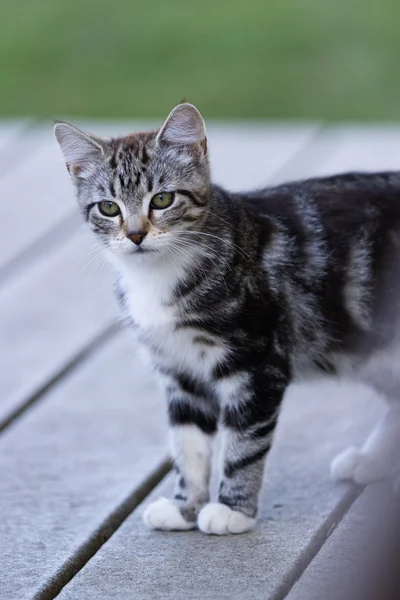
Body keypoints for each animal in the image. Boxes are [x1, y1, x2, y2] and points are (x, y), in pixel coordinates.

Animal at [54, 102, 400, 536]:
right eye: (109, 207)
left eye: (162, 199)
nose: (135, 235)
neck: (159, 276)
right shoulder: (179, 372)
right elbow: (188, 445)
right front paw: (185, 506)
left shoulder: (256, 362)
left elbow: (244, 443)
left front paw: (233, 510)